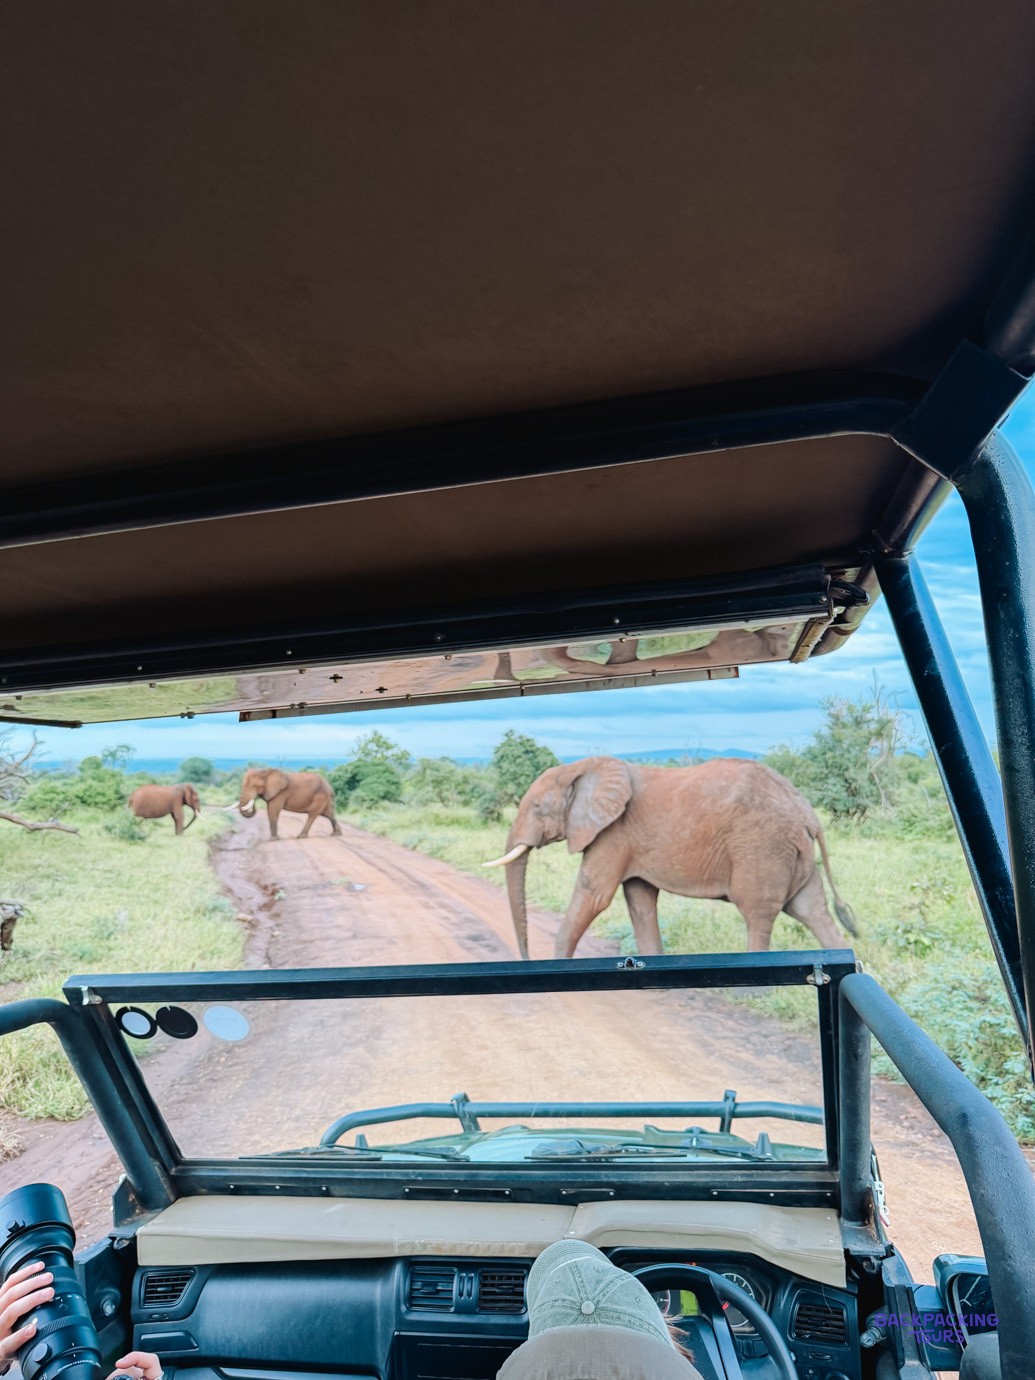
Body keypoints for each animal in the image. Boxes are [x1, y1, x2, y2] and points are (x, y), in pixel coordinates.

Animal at [483, 756, 857, 959]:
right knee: (812, 910)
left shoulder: (614, 833)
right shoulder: (627, 842)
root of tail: (807, 812)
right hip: (792, 854)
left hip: (762, 849)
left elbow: (594, 894)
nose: (526, 958)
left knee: (758, 915)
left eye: (538, 807)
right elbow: (639, 900)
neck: (582, 766)